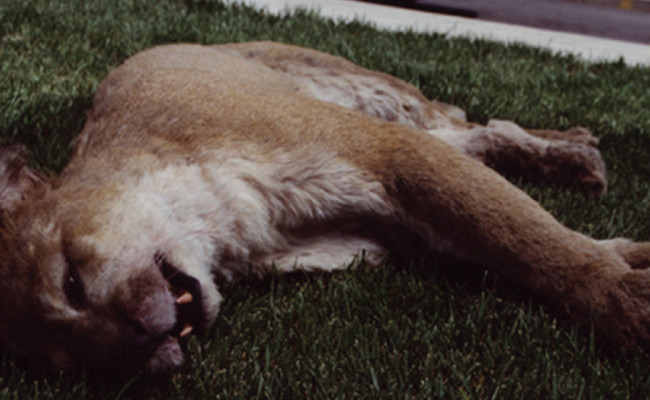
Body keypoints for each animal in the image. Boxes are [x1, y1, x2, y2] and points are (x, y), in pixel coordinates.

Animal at [1, 42, 649, 375]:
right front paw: (629, 259)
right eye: (75, 361)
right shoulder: (393, 237)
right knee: (477, 138)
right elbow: (512, 231)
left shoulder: (388, 150)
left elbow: (526, 235)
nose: (137, 351)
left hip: (386, 97)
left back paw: (577, 155)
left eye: (72, 283)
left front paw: (623, 298)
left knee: (481, 124)